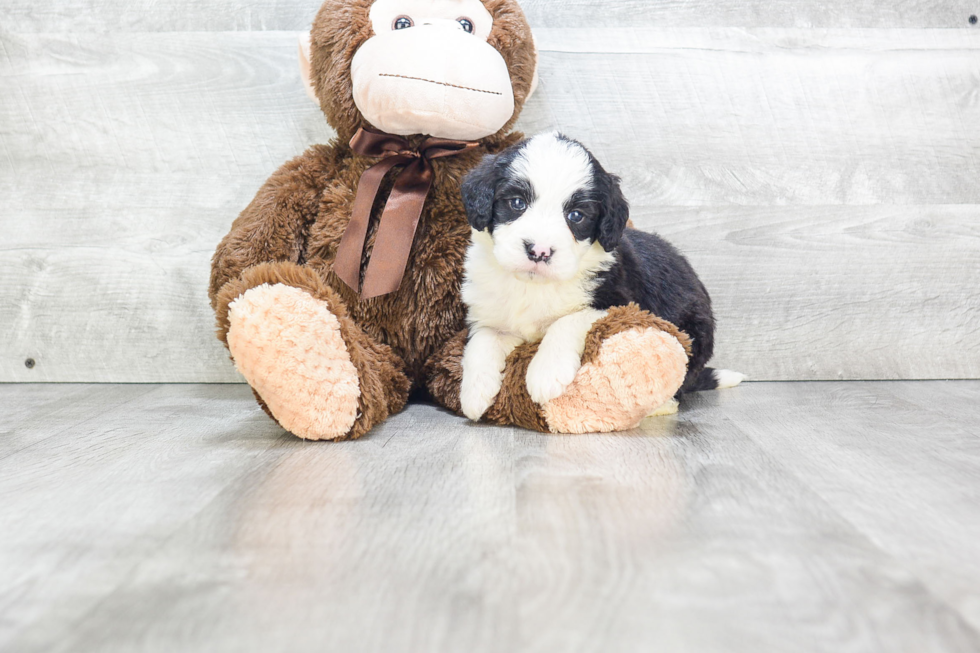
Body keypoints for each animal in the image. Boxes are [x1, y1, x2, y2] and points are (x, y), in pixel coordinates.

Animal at [460, 131, 744, 422]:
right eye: (517, 203)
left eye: (576, 215)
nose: (539, 251)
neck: (534, 286)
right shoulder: (491, 312)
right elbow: (482, 340)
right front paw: (474, 393)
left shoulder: (619, 302)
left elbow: (567, 320)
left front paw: (546, 373)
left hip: (694, 333)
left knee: (682, 379)